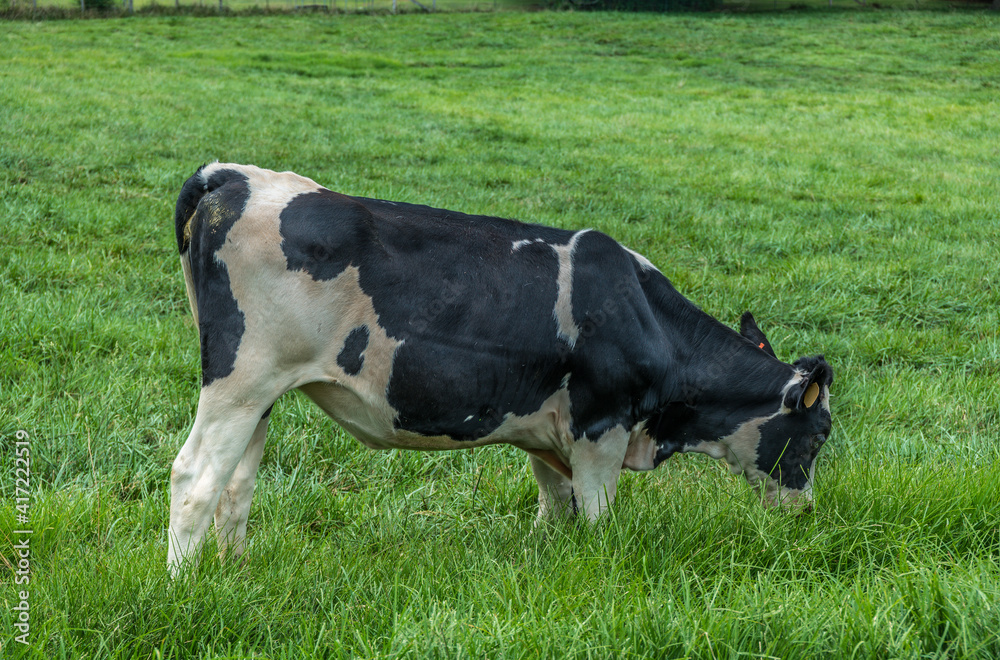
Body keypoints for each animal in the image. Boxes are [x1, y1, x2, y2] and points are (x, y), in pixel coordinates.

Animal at [168, 162, 832, 576]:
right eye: (820, 434)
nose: (806, 514)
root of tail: (233, 175)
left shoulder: (544, 426)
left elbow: (555, 504)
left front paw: (546, 557)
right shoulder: (602, 425)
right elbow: (596, 514)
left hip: (262, 392)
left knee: (236, 483)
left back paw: (237, 571)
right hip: (240, 378)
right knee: (194, 476)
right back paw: (183, 585)